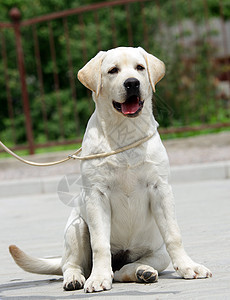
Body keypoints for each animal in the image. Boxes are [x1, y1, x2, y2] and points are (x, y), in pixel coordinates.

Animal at [10, 47, 212, 292]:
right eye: (113, 70)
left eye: (139, 68)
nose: (132, 83)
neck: (124, 132)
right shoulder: (96, 195)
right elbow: (100, 244)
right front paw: (98, 278)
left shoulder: (160, 188)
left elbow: (174, 235)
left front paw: (188, 266)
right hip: (77, 227)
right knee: (72, 264)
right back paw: (76, 278)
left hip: (158, 253)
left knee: (124, 270)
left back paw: (143, 271)